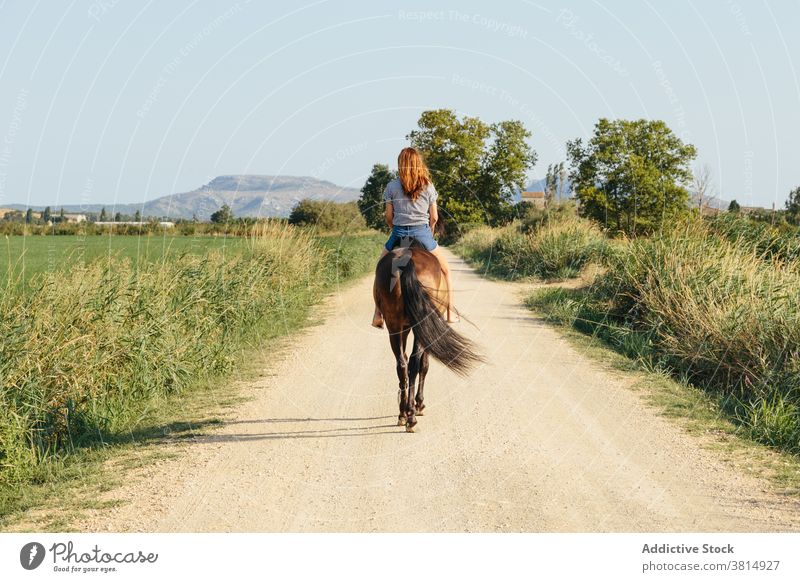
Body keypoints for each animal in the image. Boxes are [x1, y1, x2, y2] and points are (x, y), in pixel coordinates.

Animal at [374, 237, 484, 434]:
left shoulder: (404, 327)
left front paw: (405, 409)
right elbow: (424, 365)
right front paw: (419, 404)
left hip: (394, 325)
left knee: (402, 364)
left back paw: (403, 414)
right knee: (414, 362)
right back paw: (412, 416)